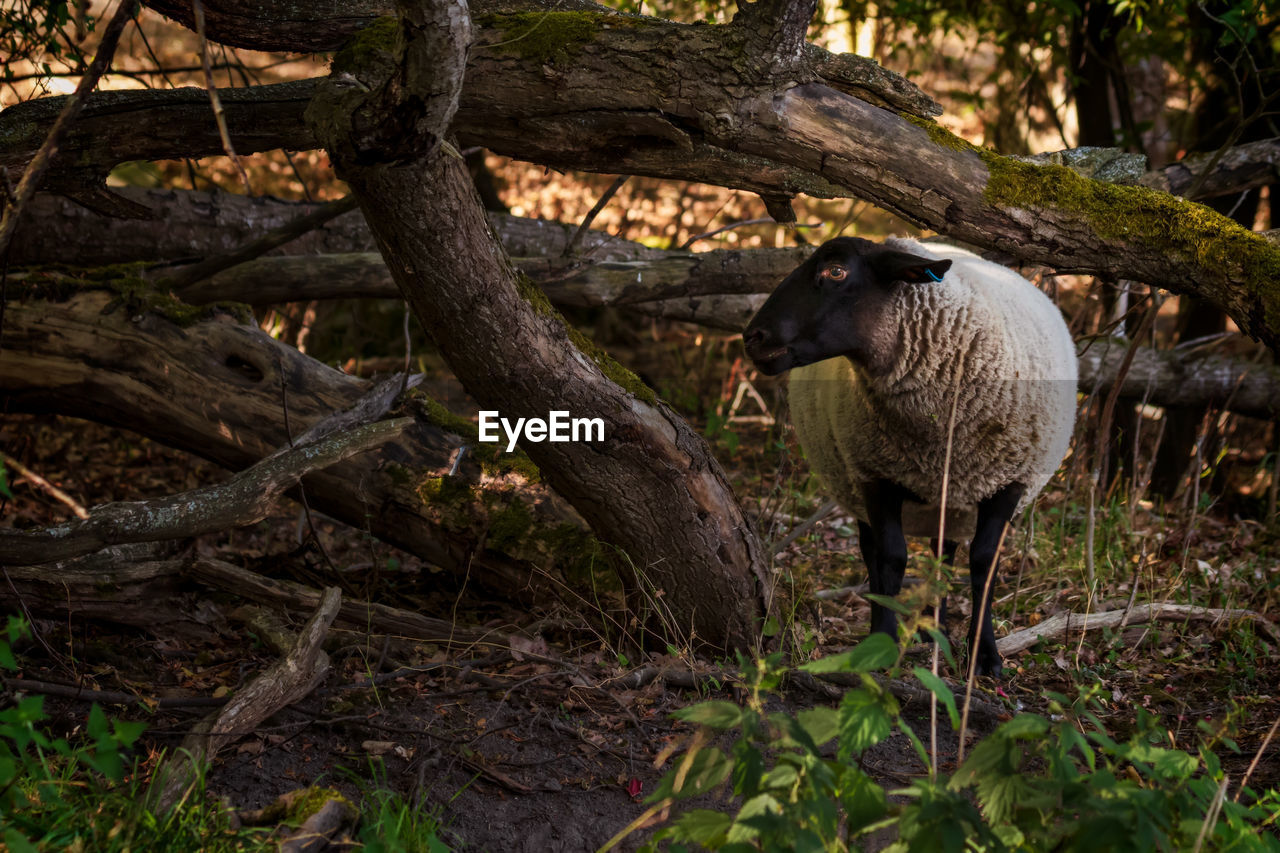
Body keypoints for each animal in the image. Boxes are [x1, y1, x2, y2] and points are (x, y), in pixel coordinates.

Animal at [747, 235, 1075, 676]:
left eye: (836, 271)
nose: (753, 336)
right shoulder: (874, 475)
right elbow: (891, 558)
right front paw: (881, 643)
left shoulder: (1009, 481)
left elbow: (983, 562)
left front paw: (985, 655)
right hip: (854, 480)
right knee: (873, 552)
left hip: (950, 499)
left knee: (943, 555)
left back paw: (936, 628)